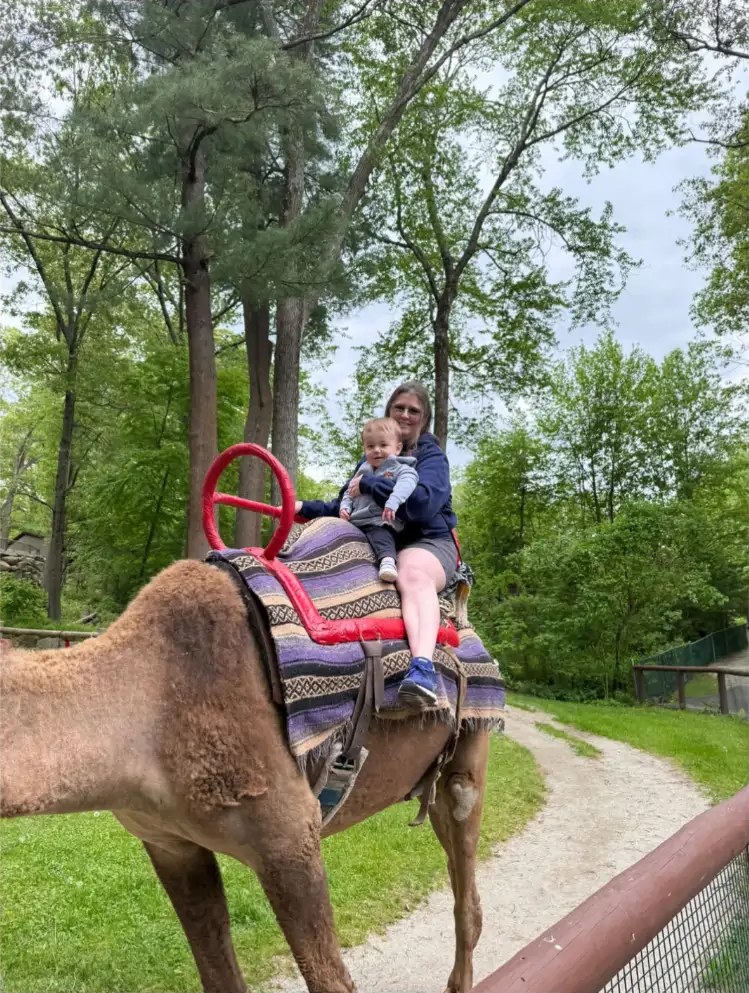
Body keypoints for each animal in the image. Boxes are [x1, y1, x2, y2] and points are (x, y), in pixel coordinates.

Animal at [1, 558, 490, 993]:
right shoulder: (168, 842)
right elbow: (220, 978)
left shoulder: (289, 837)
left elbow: (331, 980)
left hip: (469, 757)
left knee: (467, 895)